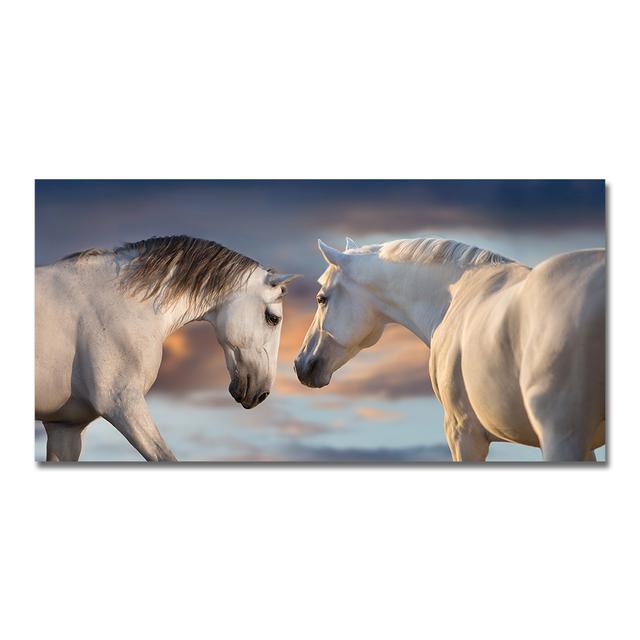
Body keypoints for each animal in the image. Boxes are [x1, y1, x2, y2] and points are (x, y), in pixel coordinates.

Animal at [295, 237, 605, 462]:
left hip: (560, 436)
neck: (455, 297)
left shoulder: (462, 433)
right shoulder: (587, 446)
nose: (301, 364)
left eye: (321, 298)